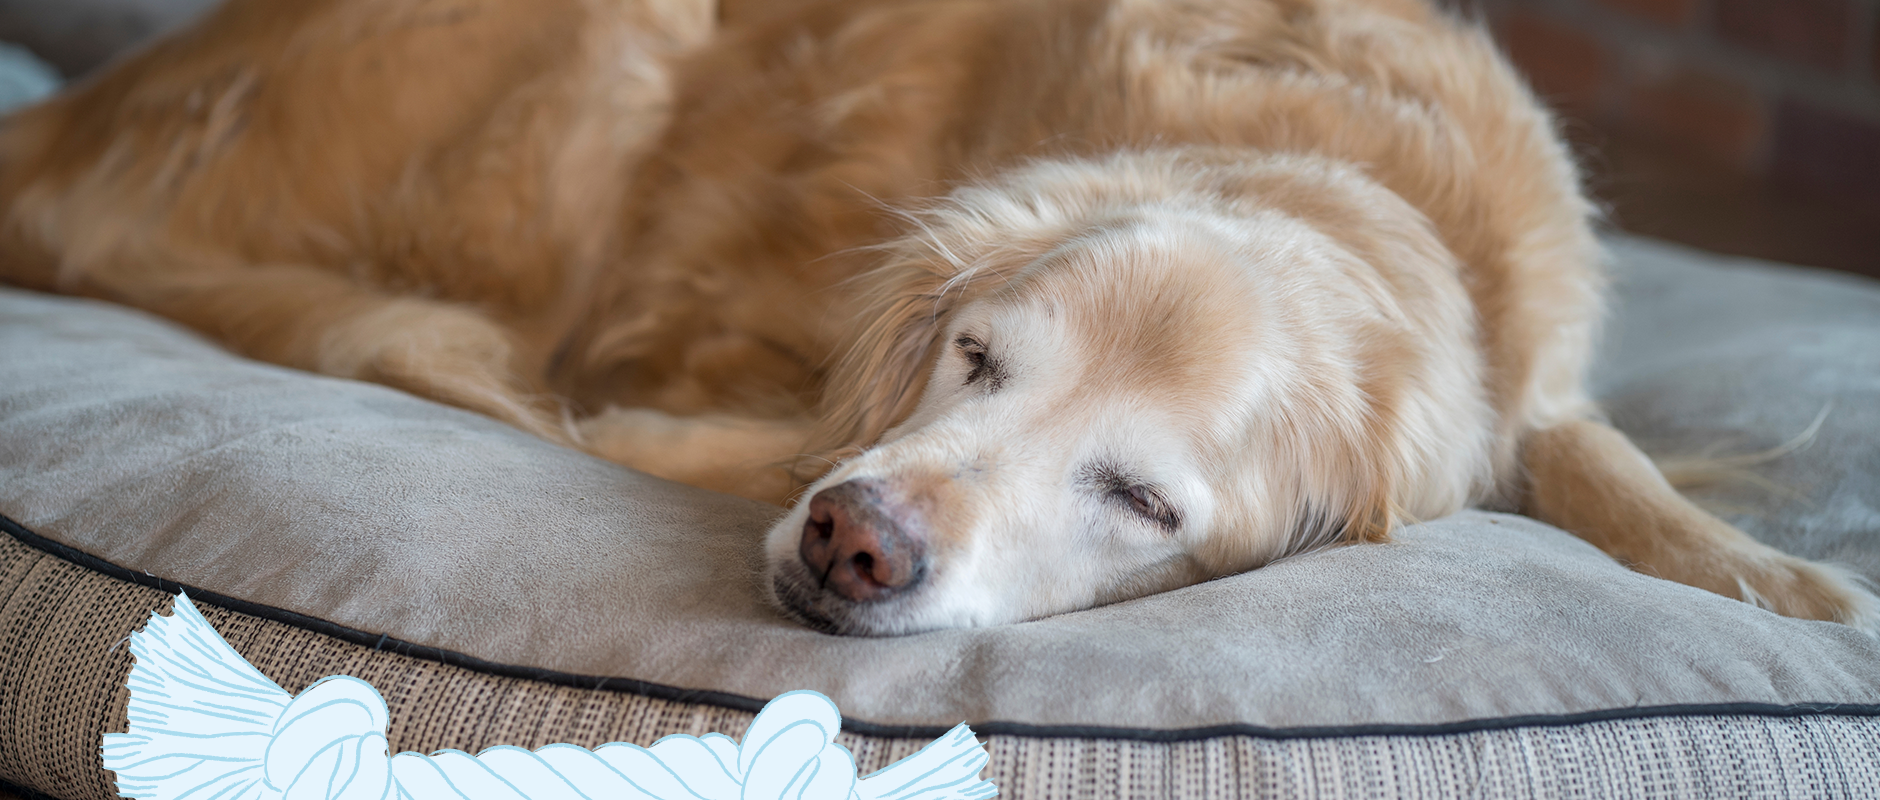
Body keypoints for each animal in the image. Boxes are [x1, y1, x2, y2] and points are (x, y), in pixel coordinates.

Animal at [3, 1, 1880, 638]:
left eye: (1144, 499)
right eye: (977, 359)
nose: (856, 545)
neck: (1333, 175)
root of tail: (64, 127)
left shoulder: (1528, 373)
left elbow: (1594, 454)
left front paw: (1777, 583)